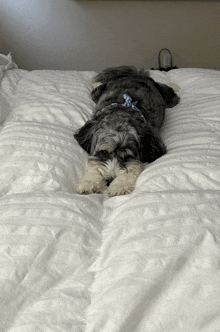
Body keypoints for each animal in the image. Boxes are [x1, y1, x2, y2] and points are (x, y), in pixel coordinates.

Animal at [75, 66, 180, 196]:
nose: (109, 180)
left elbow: (132, 169)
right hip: (97, 93)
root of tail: (136, 75)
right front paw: (88, 183)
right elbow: (94, 166)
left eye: (127, 157)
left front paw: (119, 185)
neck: (123, 111)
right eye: (104, 152)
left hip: (170, 98)